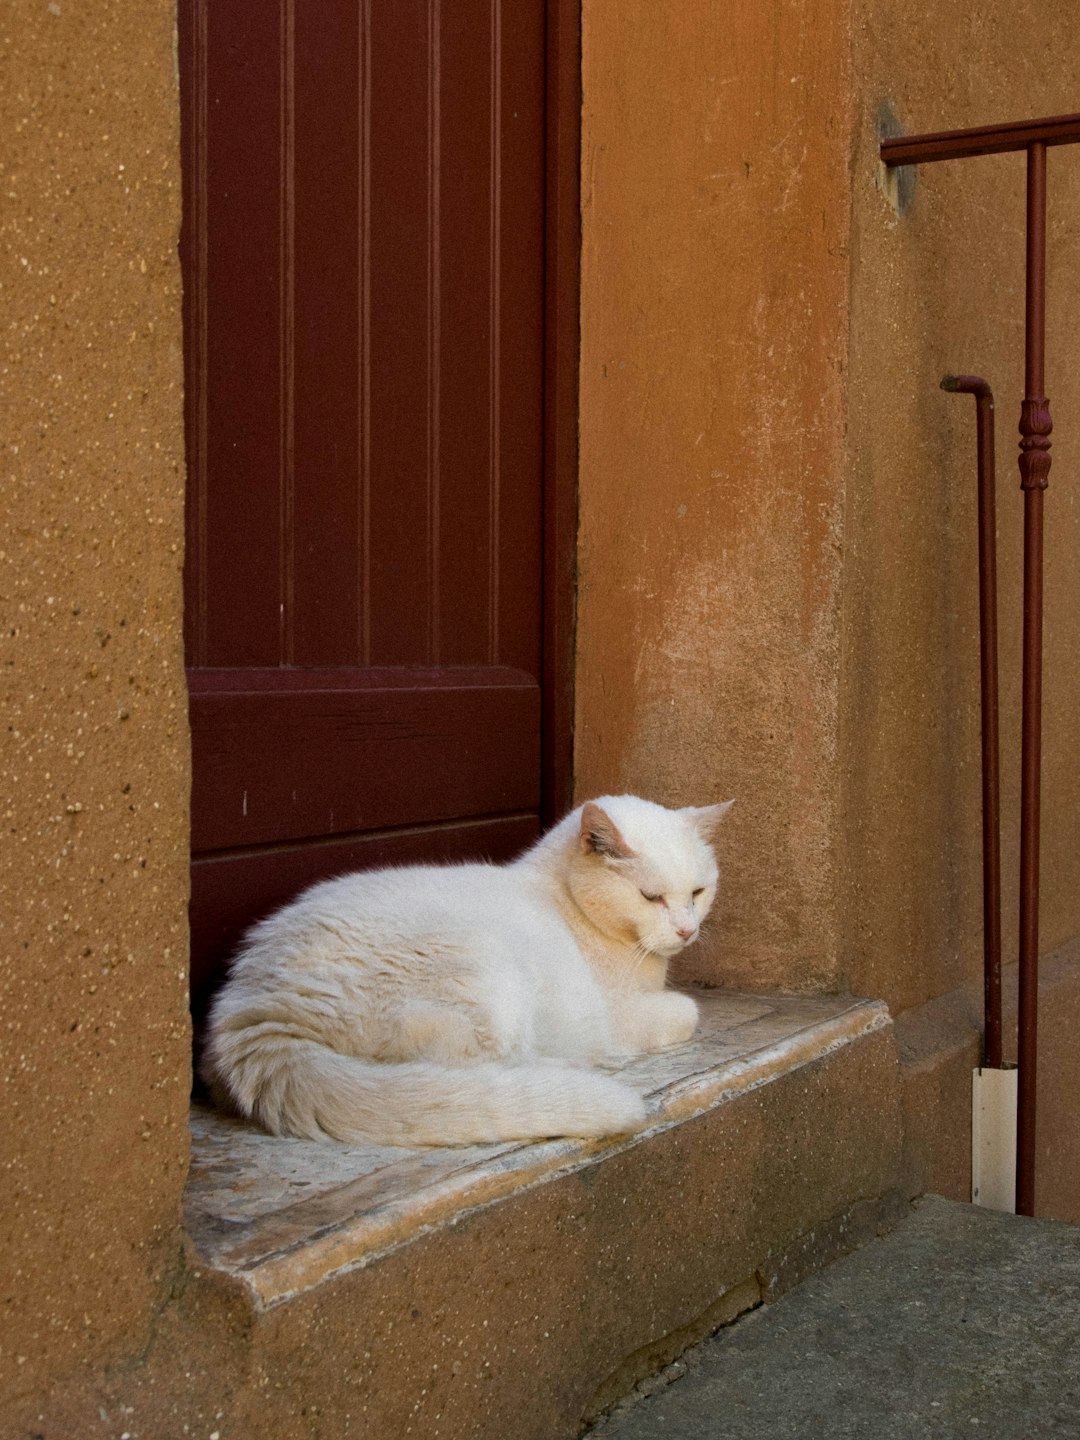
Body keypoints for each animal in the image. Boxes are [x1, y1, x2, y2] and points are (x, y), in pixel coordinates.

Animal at [198, 794, 731, 1140]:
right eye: (651, 897)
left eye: (698, 893)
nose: (687, 931)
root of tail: (260, 1010)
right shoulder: (616, 1015)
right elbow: (688, 1011)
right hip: (491, 979)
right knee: (471, 1062)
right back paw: (575, 1066)